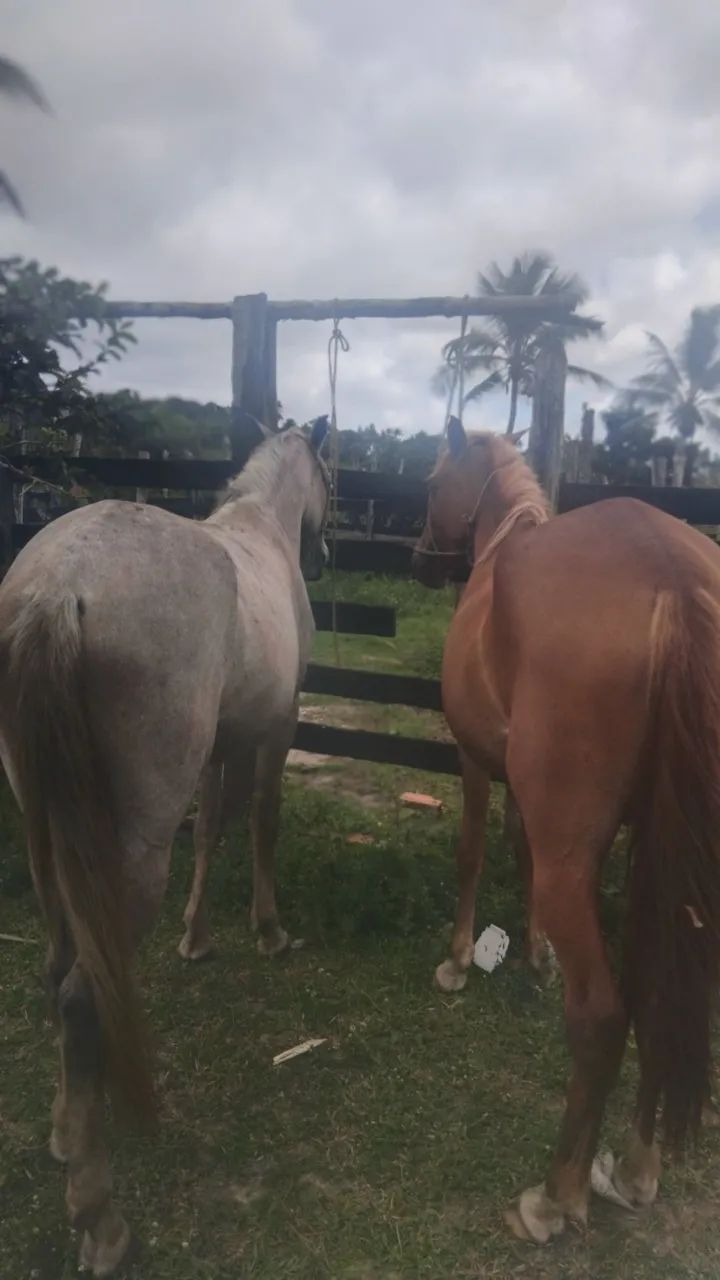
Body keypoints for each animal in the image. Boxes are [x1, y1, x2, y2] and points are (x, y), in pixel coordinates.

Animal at [0, 418, 329, 1276]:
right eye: (331, 474)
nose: (325, 551)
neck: (262, 530)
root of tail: (57, 588)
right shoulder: (276, 730)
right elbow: (260, 820)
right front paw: (269, 930)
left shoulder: (223, 743)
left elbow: (212, 826)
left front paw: (197, 937)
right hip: (130, 852)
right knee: (81, 997)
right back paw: (101, 1220)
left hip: (49, 834)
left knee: (58, 964)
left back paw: (64, 1133)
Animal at [412, 416, 720, 1244]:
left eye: (434, 480)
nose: (420, 558)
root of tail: (672, 575)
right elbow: (516, 855)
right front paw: (535, 954)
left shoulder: (476, 762)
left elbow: (475, 851)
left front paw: (459, 960)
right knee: (663, 992)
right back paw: (636, 1168)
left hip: (578, 856)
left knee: (604, 1016)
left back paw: (555, 1195)